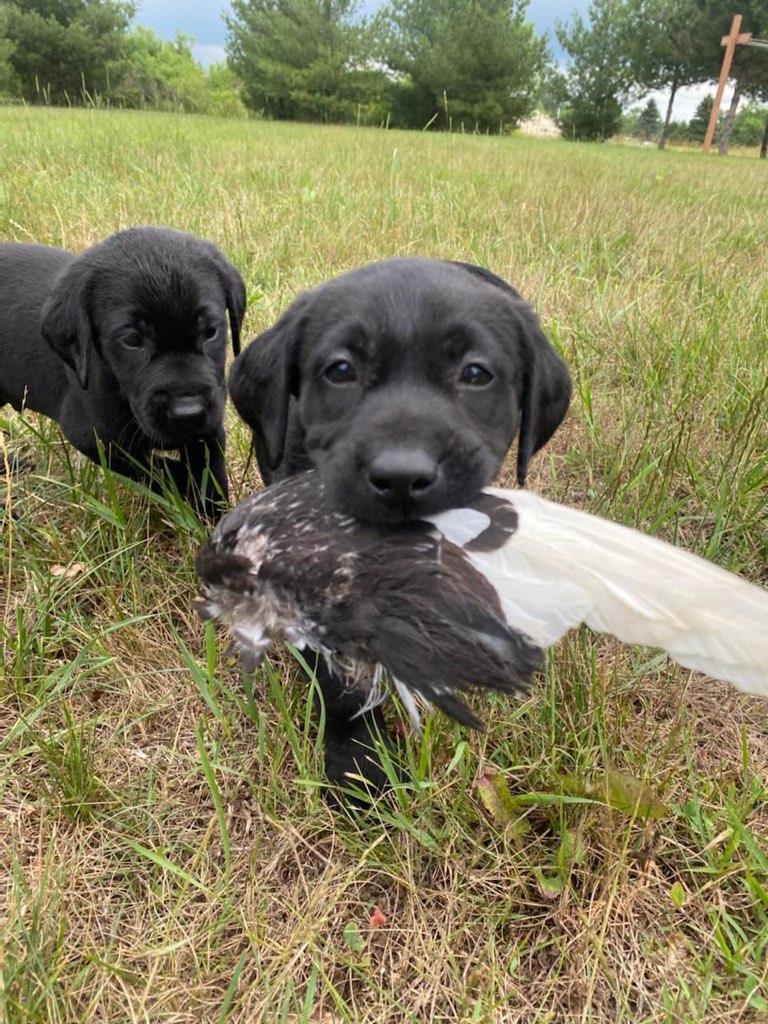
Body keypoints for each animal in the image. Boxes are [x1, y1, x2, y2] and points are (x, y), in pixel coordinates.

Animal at [0, 227, 246, 517]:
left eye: (210, 332)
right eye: (132, 339)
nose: (188, 412)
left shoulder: (208, 428)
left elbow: (211, 477)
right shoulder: (95, 438)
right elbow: (155, 471)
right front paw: (184, 484)